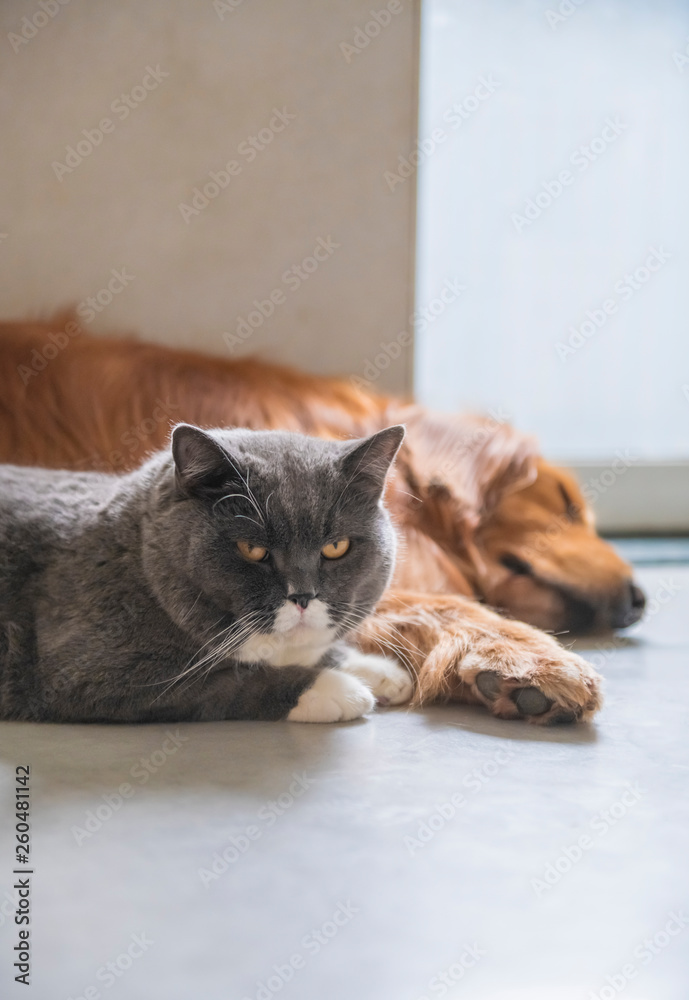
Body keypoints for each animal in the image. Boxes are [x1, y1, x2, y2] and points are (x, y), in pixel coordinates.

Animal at [0, 420, 414, 720]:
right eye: (252, 549)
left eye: (335, 547)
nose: (303, 595)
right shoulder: (91, 671)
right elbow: (230, 682)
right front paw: (338, 689)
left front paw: (379, 671)